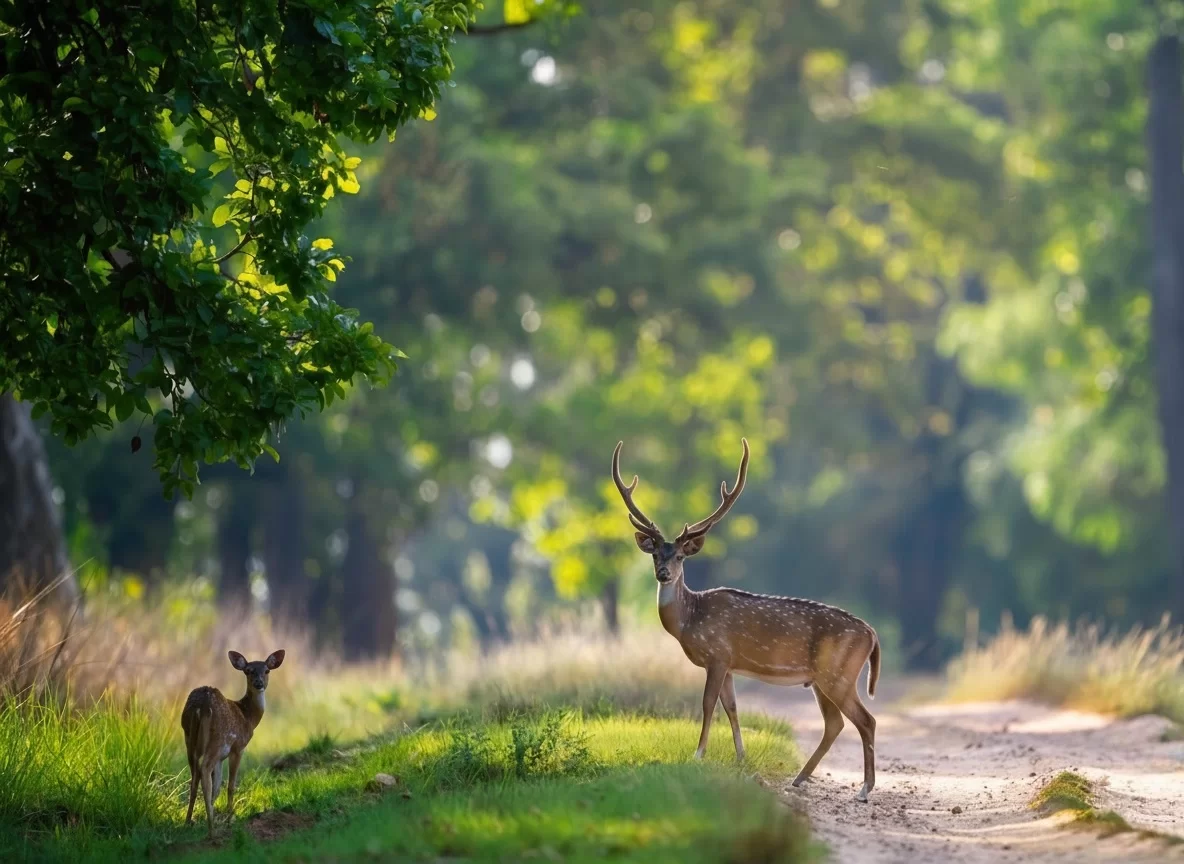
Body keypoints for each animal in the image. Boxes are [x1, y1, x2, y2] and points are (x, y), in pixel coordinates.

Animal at [181, 649, 285, 836]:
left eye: (267, 670)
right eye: (248, 671)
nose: (259, 683)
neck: (248, 717)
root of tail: (202, 707)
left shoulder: (221, 758)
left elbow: (217, 787)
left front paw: (213, 816)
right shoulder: (238, 747)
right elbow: (230, 785)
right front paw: (230, 819)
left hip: (189, 739)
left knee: (194, 778)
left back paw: (189, 822)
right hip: (217, 739)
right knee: (204, 769)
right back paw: (211, 828)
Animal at [612, 439, 881, 802]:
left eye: (680, 556)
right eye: (655, 554)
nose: (664, 573)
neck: (689, 619)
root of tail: (872, 634)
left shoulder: (717, 655)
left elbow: (707, 704)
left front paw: (698, 755)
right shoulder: (729, 663)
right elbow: (732, 708)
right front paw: (741, 757)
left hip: (838, 673)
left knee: (866, 720)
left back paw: (864, 789)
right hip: (822, 678)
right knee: (835, 723)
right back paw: (799, 779)